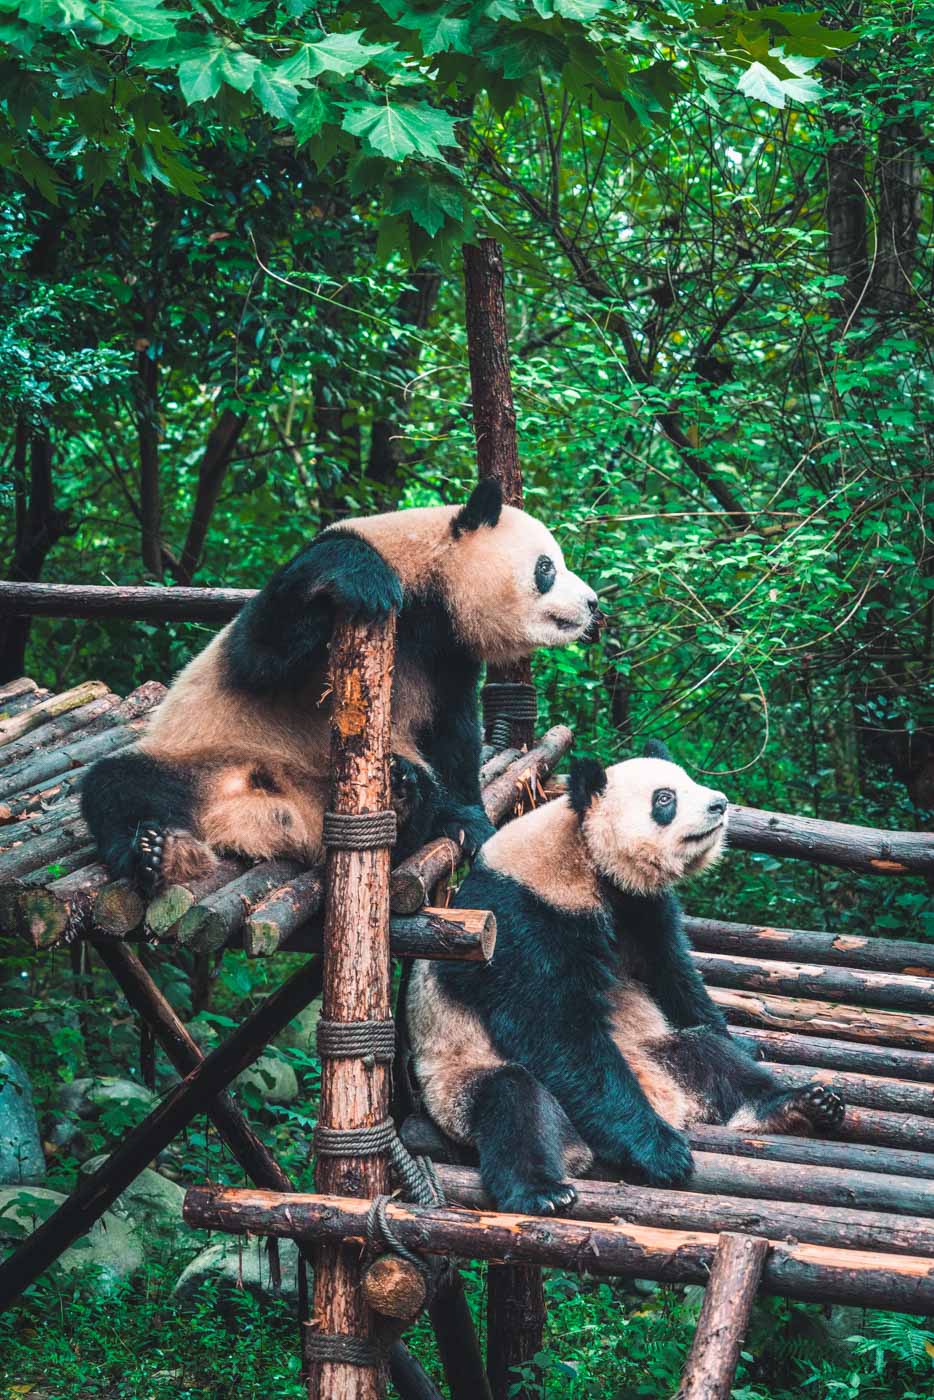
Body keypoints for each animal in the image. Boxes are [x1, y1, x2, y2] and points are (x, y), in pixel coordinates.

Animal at [80, 481, 599, 890]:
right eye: (547, 568)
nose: (593, 603)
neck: (433, 578)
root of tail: (259, 822)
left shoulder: (448, 652)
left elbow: (451, 731)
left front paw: (469, 821)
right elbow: (259, 654)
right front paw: (364, 577)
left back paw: (404, 795)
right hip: (200, 754)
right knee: (118, 785)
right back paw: (154, 853)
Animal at [406, 744, 845, 1215]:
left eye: (687, 782)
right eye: (665, 798)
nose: (720, 804)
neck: (585, 857)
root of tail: (669, 1101)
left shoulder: (640, 907)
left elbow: (674, 975)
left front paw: (743, 1043)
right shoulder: (522, 919)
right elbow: (554, 1029)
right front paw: (660, 1153)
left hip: (655, 1049)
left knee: (705, 1053)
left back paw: (797, 1105)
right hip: (457, 1087)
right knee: (514, 1102)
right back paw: (543, 1191)